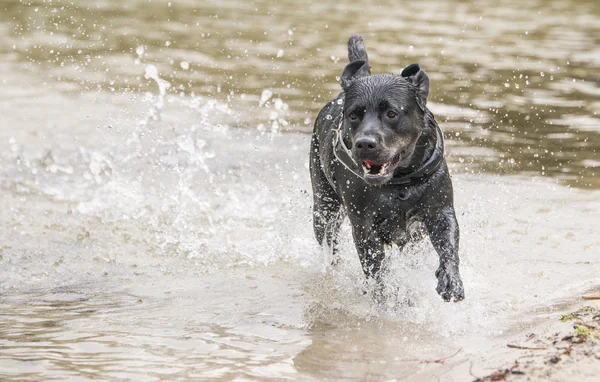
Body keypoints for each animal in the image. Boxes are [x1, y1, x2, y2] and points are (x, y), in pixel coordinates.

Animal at [310, 35, 464, 302]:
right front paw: (389, 298)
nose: (365, 143)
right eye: (353, 115)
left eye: (392, 113)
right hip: (323, 208)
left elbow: (448, 246)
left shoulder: (440, 211)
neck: (399, 181)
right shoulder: (364, 228)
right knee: (329, 241)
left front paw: (450, 281)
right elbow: (377, 270)